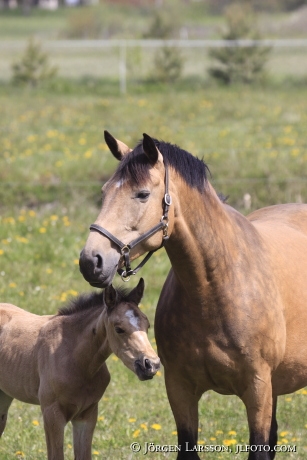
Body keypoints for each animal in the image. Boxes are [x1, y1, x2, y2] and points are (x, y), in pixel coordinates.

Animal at [0, 278, 159, 460]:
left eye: (147, 325)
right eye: (119, 329)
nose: (151, 365)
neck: (75, 359)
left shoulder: (87, 414)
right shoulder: (51, 414)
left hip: (4, 394)